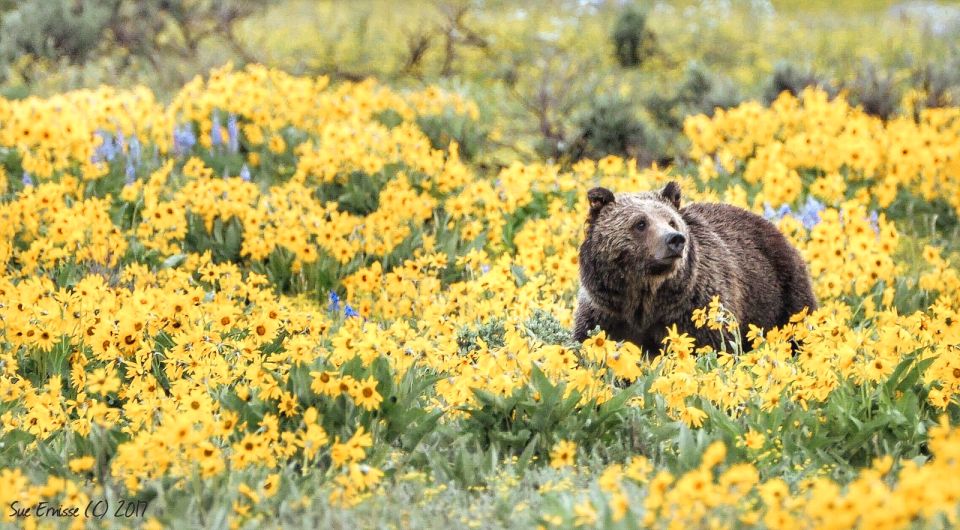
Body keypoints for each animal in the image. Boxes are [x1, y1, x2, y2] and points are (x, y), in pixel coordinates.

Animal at [576, 183, 816, 354]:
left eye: (671, 221)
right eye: (640, 223)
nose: (675, 239)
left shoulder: (695, 310)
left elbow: (713, 345)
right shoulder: (606, 314)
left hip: (782, 294)